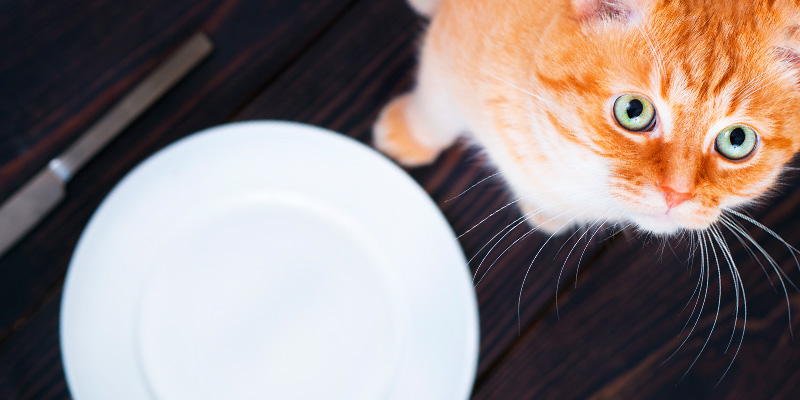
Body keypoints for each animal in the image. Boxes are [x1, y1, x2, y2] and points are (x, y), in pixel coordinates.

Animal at [372, 0, 800, 236]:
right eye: (633, 111)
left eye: (736, 140)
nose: (676, 194)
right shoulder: (447, 57)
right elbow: (435, 111)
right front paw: (408, 136)